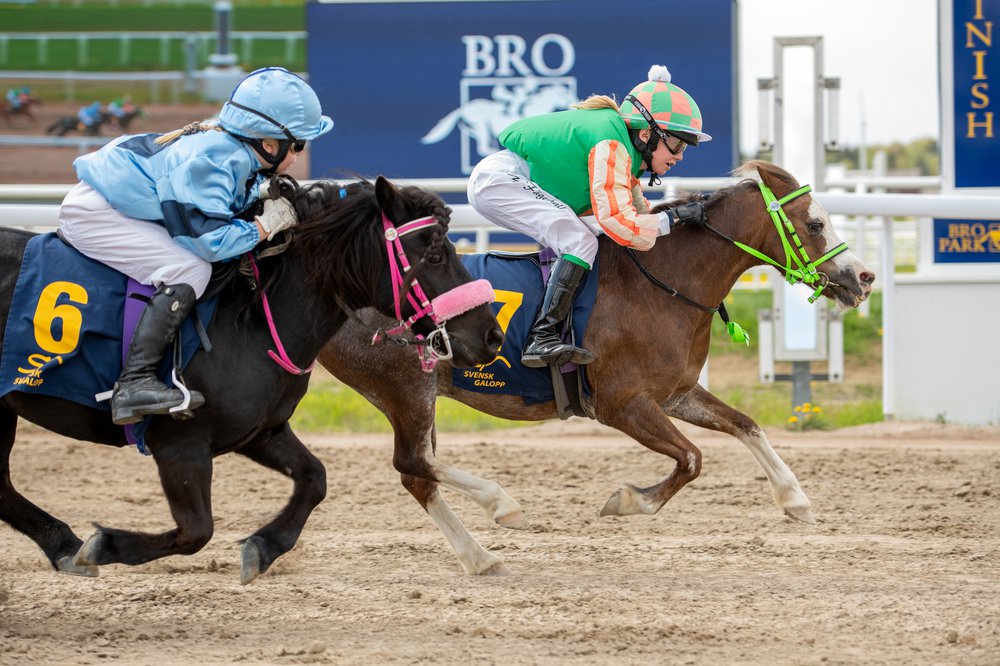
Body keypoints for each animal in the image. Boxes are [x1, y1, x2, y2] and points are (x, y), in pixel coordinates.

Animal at [0, 175, 500, 580]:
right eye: (434, 252)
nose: (492, 335)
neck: (252, 318)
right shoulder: (179, 445)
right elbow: (196, 531)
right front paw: (104, 544)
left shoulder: (260, 430)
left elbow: (315, 479)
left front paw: (263, 546)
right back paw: (72, 546)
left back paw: (63, 545)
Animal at [318, 160, 876, 572]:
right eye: (815, 223)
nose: (863, 277)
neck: (662, 283)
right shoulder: (621, 404)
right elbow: (692, 459)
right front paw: (627, 501)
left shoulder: (675, 392)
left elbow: (746, 424)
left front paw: (795, 498)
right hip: (407, 387)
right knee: (412, 463)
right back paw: (501, 506)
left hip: (421, 392)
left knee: (418, 474)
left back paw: (480, 557)